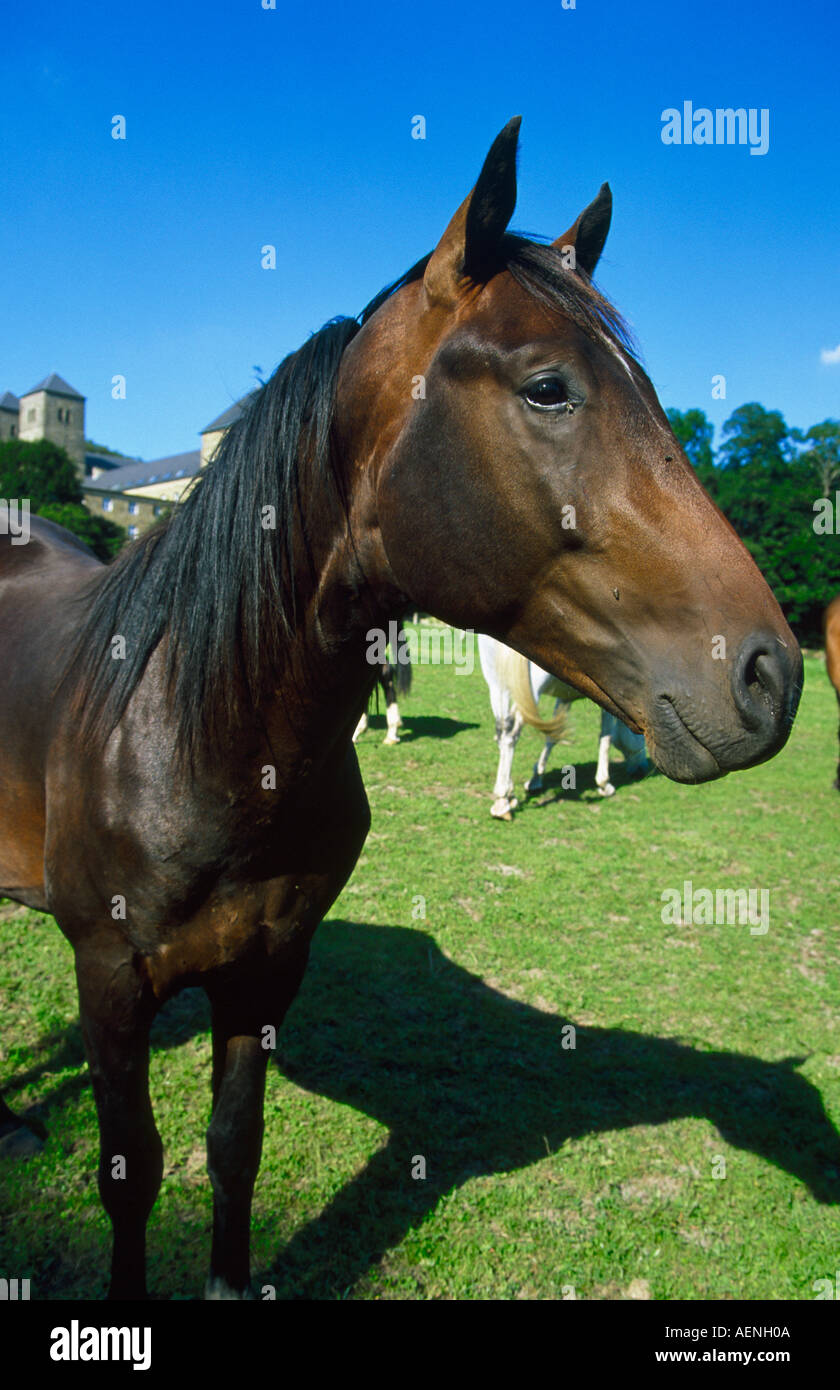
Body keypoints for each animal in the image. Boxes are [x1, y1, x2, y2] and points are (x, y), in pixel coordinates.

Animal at [478, 636, 650, 817]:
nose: (642, 769)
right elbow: (606, 738)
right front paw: (604, 785)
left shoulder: (565, 698)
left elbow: (552, 737)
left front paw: (536, 779)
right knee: (510, 734)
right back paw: (502, 801)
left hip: (498, 688)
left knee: (501, 733)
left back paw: (509, 794)